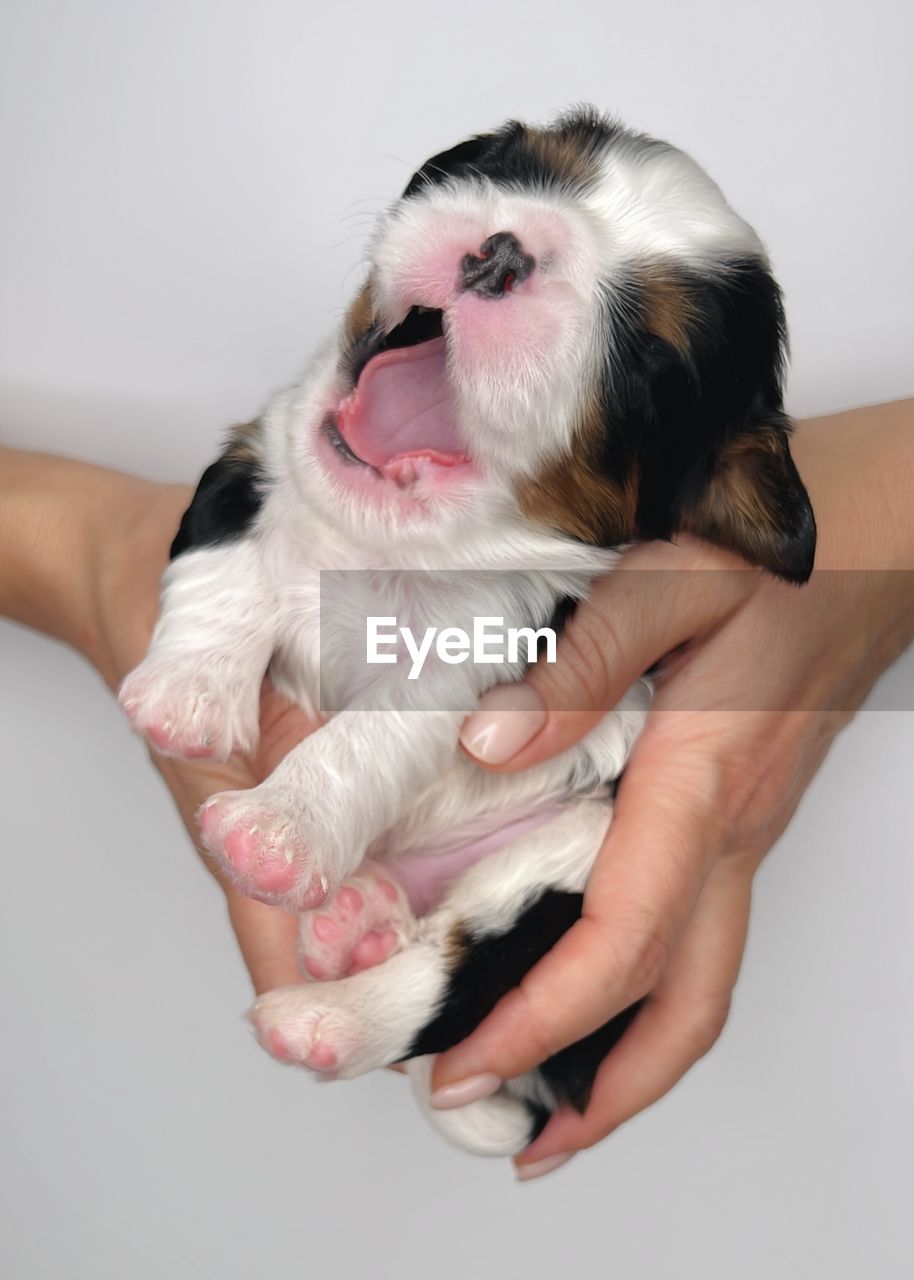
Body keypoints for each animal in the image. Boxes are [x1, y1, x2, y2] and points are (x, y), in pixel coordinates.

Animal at [119, 110, 814, 1162]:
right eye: (504, 162)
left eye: (649, 360)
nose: (502, 252)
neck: (375, 539)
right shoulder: (257, 453)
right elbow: (224, 561)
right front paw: (185, 698)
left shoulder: (491, 649)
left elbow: (369, 739)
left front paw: (275, 833)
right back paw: (356, 919)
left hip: (572, 858)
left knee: (456, 973)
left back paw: (325, 1015)